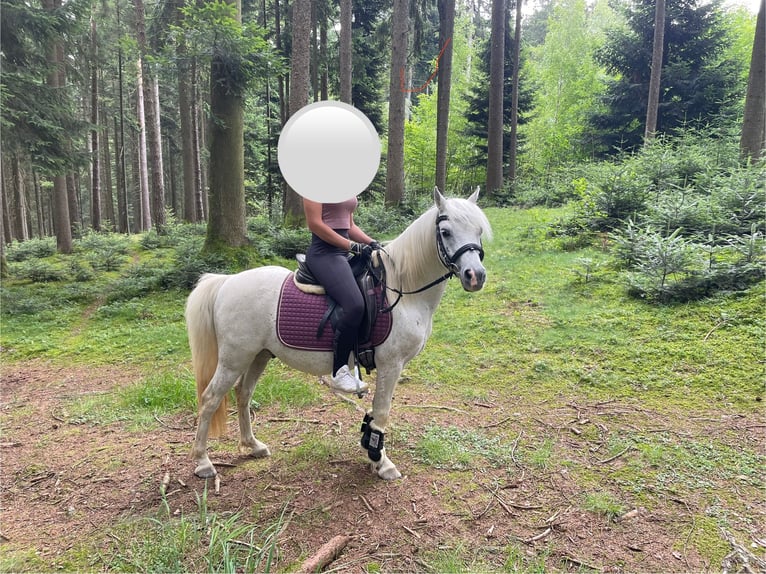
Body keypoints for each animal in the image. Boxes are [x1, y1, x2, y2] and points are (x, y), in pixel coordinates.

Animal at [185, 187, 492, 480]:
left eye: (478, 231)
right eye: (445, 231)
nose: (475, 276)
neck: (402, 289)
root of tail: (227, 282)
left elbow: (375, 413)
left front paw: (371, 450)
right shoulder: (390, 364)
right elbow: (382, 411)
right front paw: (382, 462)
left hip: (259, 354)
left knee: (243, 393)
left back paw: (253, 445)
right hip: (234, 358)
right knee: (210, 398)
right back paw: (202, 462)